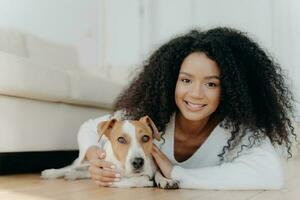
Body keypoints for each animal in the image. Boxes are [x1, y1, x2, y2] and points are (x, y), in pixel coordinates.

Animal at [41, 115, 179, 189]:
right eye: (121, 139)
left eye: (146, 138)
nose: (138, 162)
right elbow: (136, 179)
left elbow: (155, 174)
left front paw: (166, 180)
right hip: (85, 162)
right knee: (71, 167)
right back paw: (52, 173)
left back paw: (73, 175)